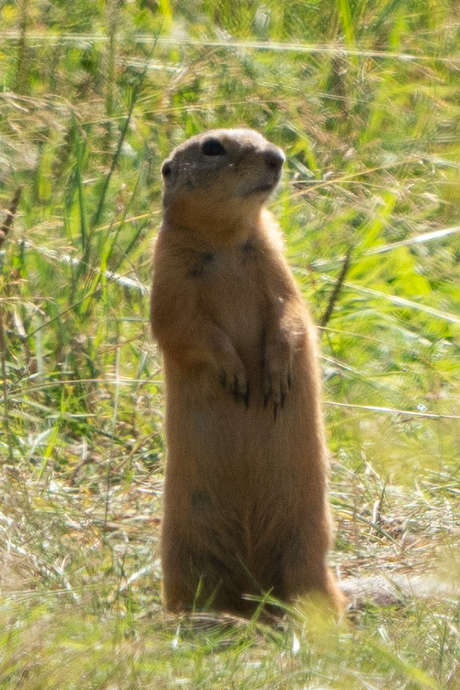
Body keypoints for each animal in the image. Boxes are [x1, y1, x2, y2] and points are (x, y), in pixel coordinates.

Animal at [150, 128, 346, 616]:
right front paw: (235, 375)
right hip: (183, 553)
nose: (278, 157)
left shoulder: (273, 260)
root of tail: (254, 594)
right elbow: (185, 328)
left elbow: (290, 312)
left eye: (261, 136)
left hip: (307, 546)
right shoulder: (168, 273)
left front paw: (274, 379)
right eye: (212, 147)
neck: (224, 238)